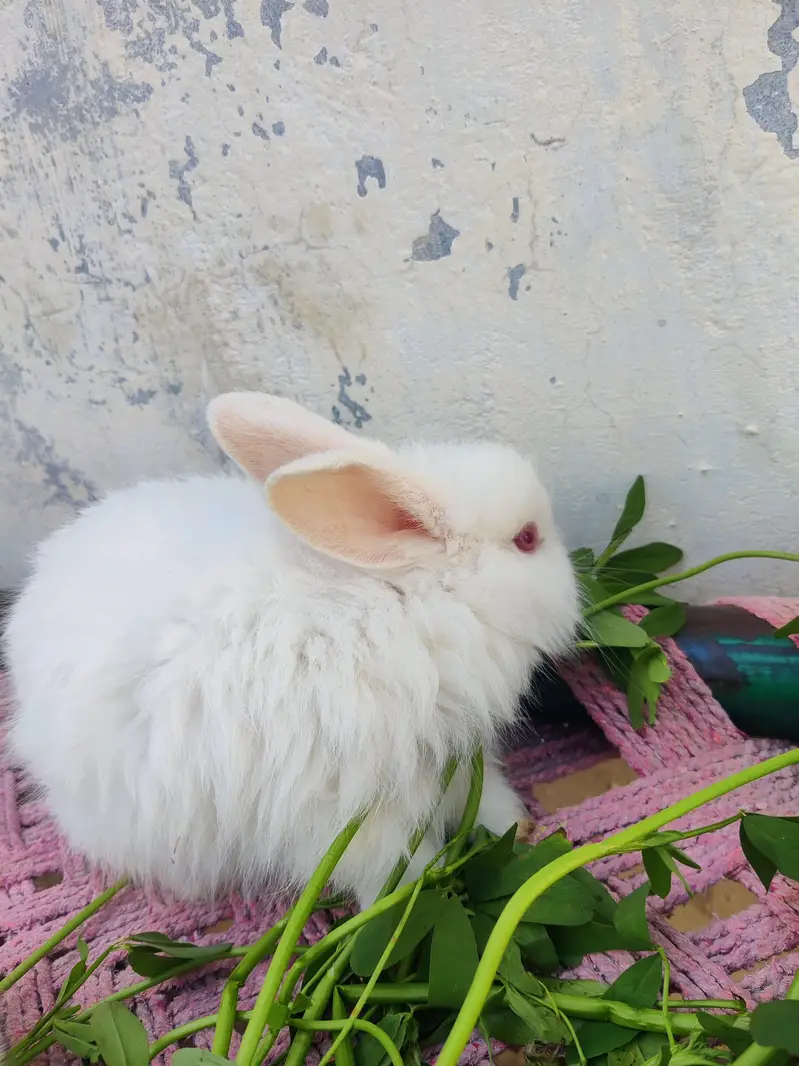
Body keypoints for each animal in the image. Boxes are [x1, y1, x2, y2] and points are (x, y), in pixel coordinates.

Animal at [4, 392, 579, 907]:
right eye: (527, 539)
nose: (574, 586)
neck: (410, 601)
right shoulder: (345, 814)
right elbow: (390, 869)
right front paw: (417, 897)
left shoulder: (453, 763)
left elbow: (488, 801)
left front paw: (522, 827)